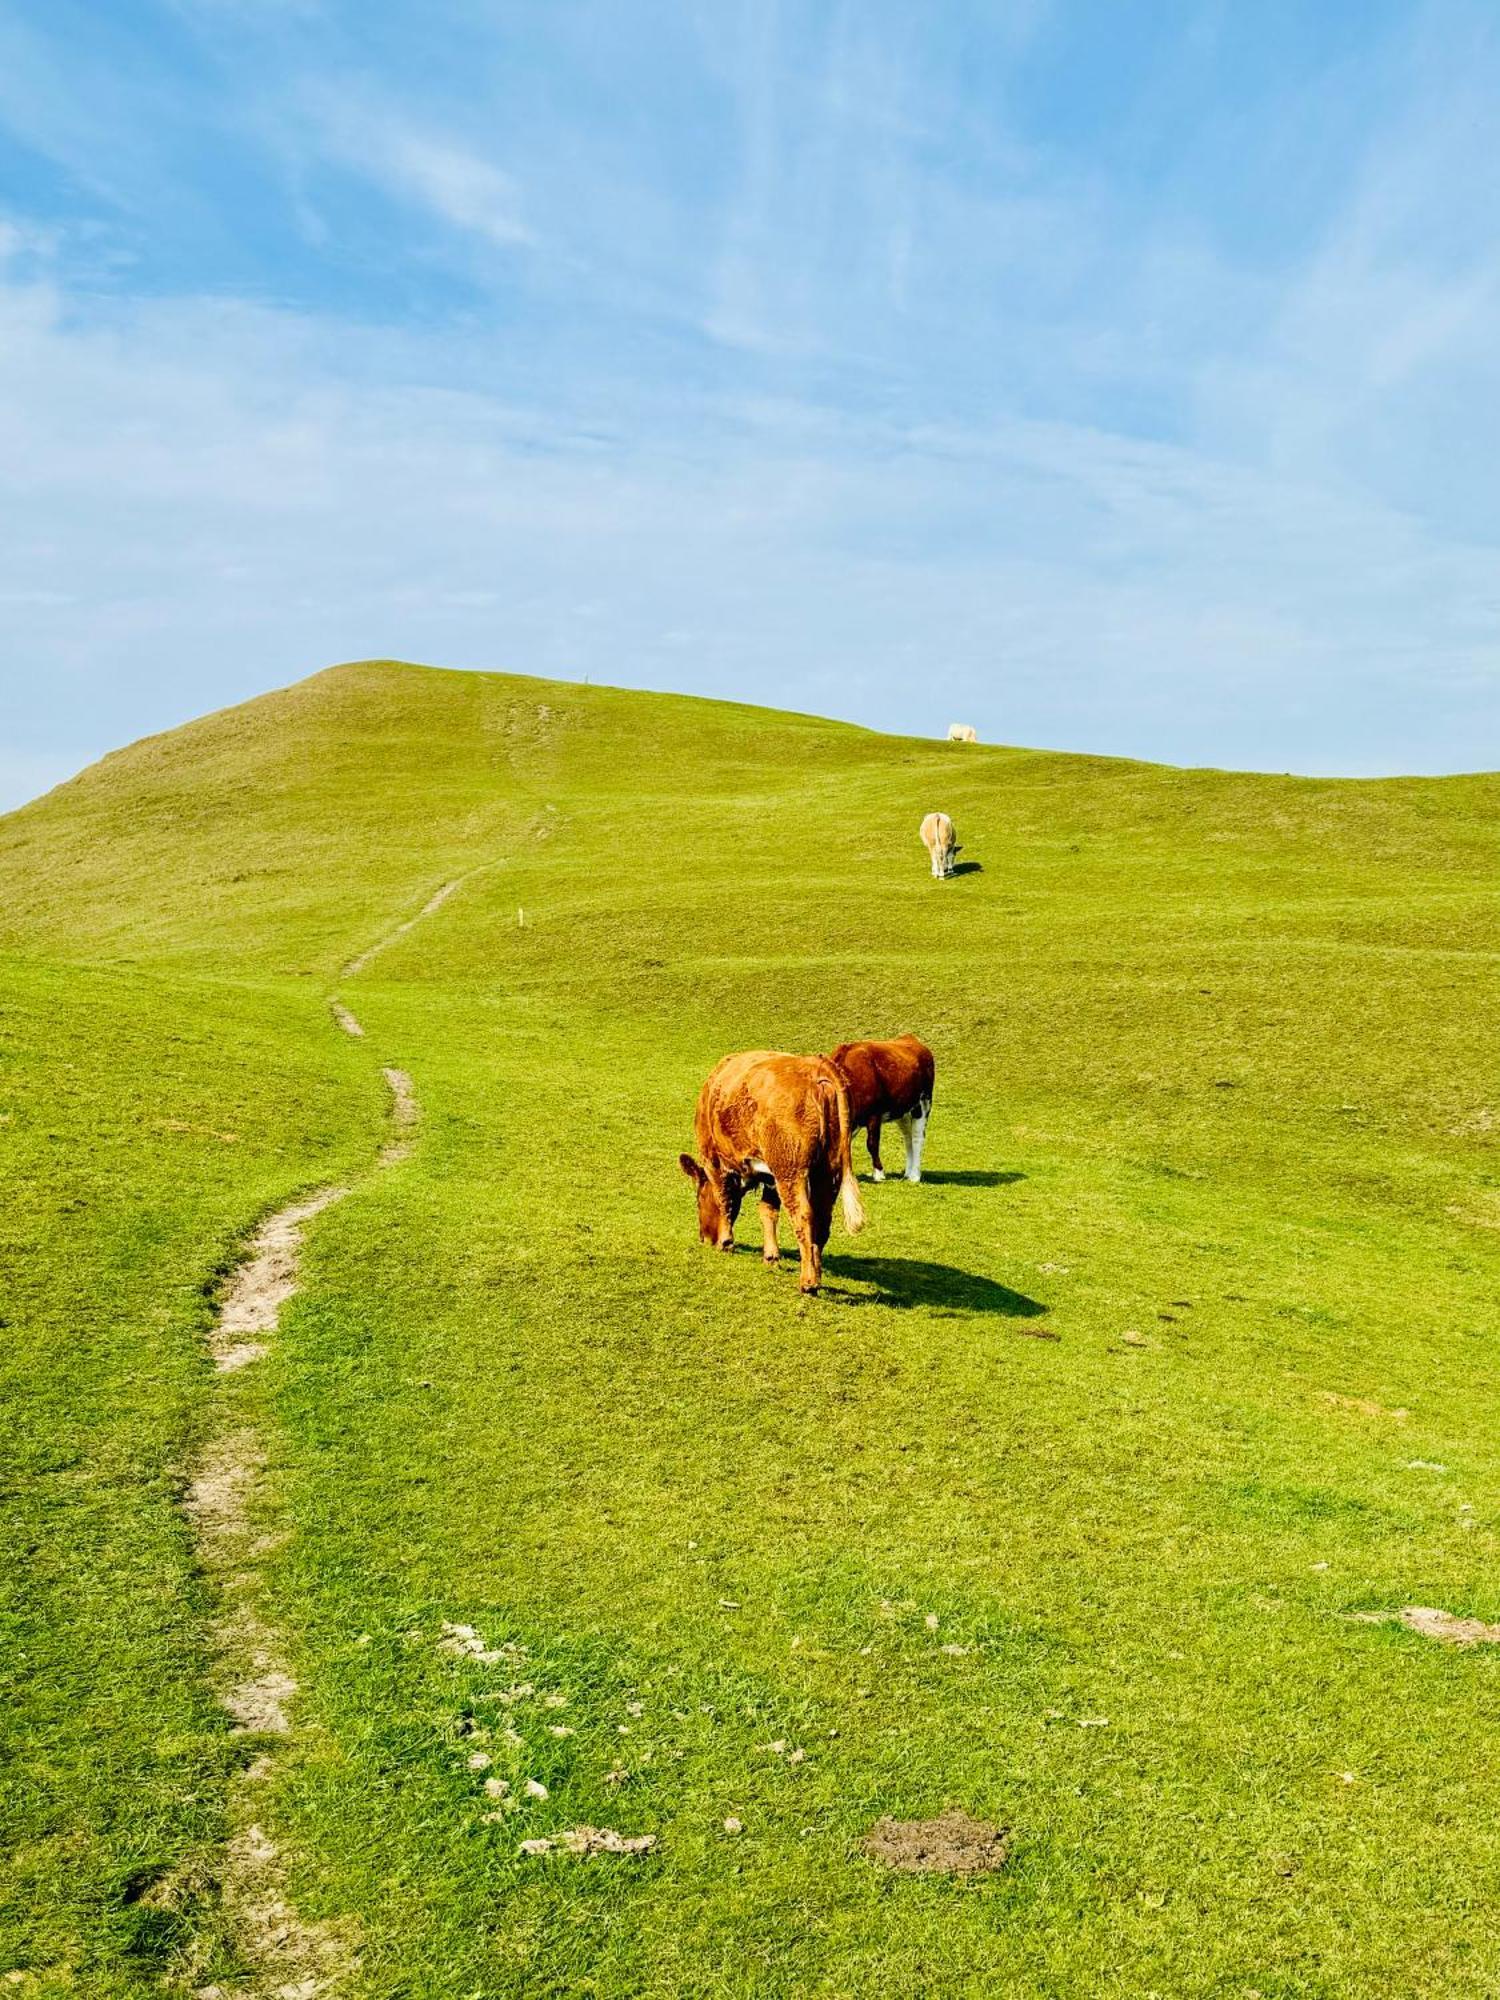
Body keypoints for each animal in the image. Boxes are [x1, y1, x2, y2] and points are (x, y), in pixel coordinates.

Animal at [684, 1048, 868, 1296]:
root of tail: (816, 1067)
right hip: (828, 1170)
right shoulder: (771, 1176)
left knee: (803, 1215)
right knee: (822, 1218)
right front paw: (771, 1256)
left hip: (790, 1169)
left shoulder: (714, 1160)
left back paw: (808, 1282)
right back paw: (817, 1275)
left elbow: (725, 1201)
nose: (704, 1237)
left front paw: (725, 1241)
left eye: (698, 1200)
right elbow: (767, 1210)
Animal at [828, 1040, 936, 1176]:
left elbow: (872, 1143)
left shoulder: (874, 1115)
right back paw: (907, 1172)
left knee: (917, 1137)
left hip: (923, 1104)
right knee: (908, 1137)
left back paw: (914, 1175)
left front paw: (879, 1172)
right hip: (902, 1112)